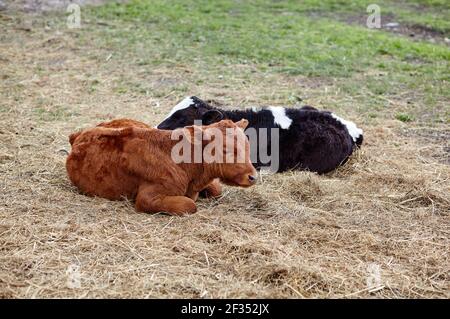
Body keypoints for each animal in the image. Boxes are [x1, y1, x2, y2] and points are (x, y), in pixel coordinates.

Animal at [66, 119, 256, 216]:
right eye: (226, 150)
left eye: (248, 146)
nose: (252, 176)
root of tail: (78, 134)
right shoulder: (147, 197)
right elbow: (189, 205)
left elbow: (216, 189)